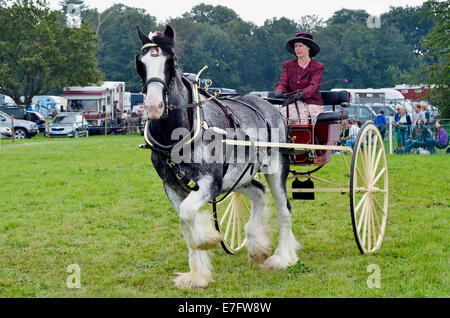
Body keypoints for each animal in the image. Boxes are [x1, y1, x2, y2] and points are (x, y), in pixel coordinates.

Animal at [135, 24, 300, 288]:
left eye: (171, 61)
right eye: (140, 63)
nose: (153, 106)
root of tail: (269, 105)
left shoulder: (209, 183)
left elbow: (189, 214)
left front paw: (209, 239)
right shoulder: (171, 185)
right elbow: (186, 221)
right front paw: (197, 275)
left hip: (276, 168)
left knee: (284, 208)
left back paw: (282, 257)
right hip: (239, 177)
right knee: (259, 193)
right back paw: (257, 245)